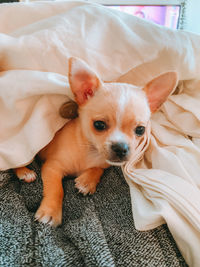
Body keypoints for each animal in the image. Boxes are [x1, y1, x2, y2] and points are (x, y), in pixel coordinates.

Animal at [14, 57, 177, 227]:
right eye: (99, 125)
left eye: (140, 130)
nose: (121, 148)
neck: (90, 151)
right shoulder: (52, 168)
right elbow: (56, 189)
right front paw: (51, 212)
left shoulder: (103, 163)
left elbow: (98, 169)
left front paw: (87, 181)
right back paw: (24, 172)